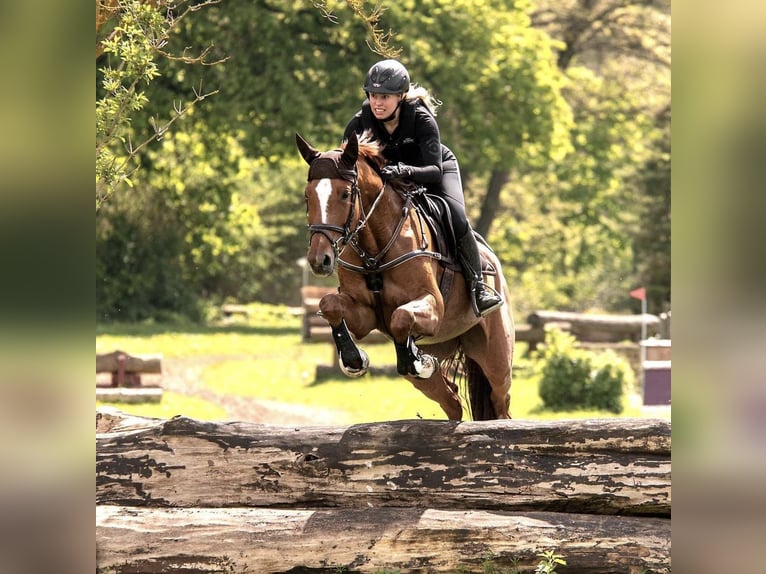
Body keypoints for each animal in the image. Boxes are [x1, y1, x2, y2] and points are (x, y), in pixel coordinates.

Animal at [296, 130, 516, 420]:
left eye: (345, 194)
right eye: (307, 196)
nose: (319, 260)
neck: (374, 250)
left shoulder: (433, 307)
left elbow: (401, 317)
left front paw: (415, 360)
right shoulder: (365, 315)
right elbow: (329, 303)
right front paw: (354, 359)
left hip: (496, 361)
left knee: (499, 402)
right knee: (452, 401)